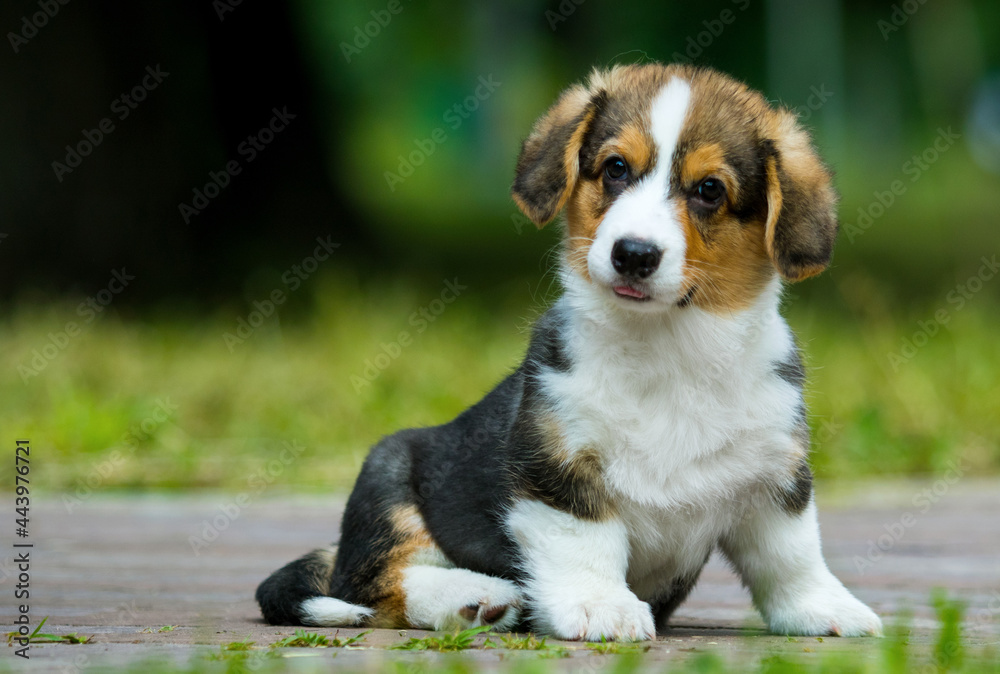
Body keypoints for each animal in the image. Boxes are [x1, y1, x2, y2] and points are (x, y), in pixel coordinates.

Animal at [258, 63, 884, 640]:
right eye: (615, 168)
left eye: (709, 189)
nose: (633, 254)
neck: (666, 345)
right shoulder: (557, 465)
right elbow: (585, 542)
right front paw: (599, 607)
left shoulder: (775, 475)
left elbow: (791, 554)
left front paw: (826, 608)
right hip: (388, 477)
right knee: (375, 582)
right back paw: (475, 595)